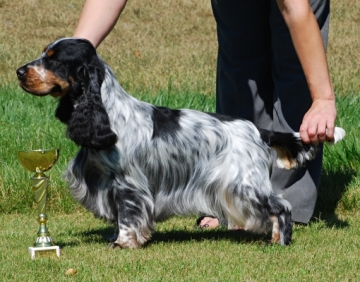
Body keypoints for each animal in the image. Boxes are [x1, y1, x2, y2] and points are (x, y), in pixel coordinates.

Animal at [16, 37, 346, 247]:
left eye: (54, 60)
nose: (19, 71)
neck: (108, 112)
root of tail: (257, 131)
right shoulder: (106, 181)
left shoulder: (128, 183)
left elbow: (128, 214)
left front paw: (123, 243)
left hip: (244, 184)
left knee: (282, 206)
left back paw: (279, 241)